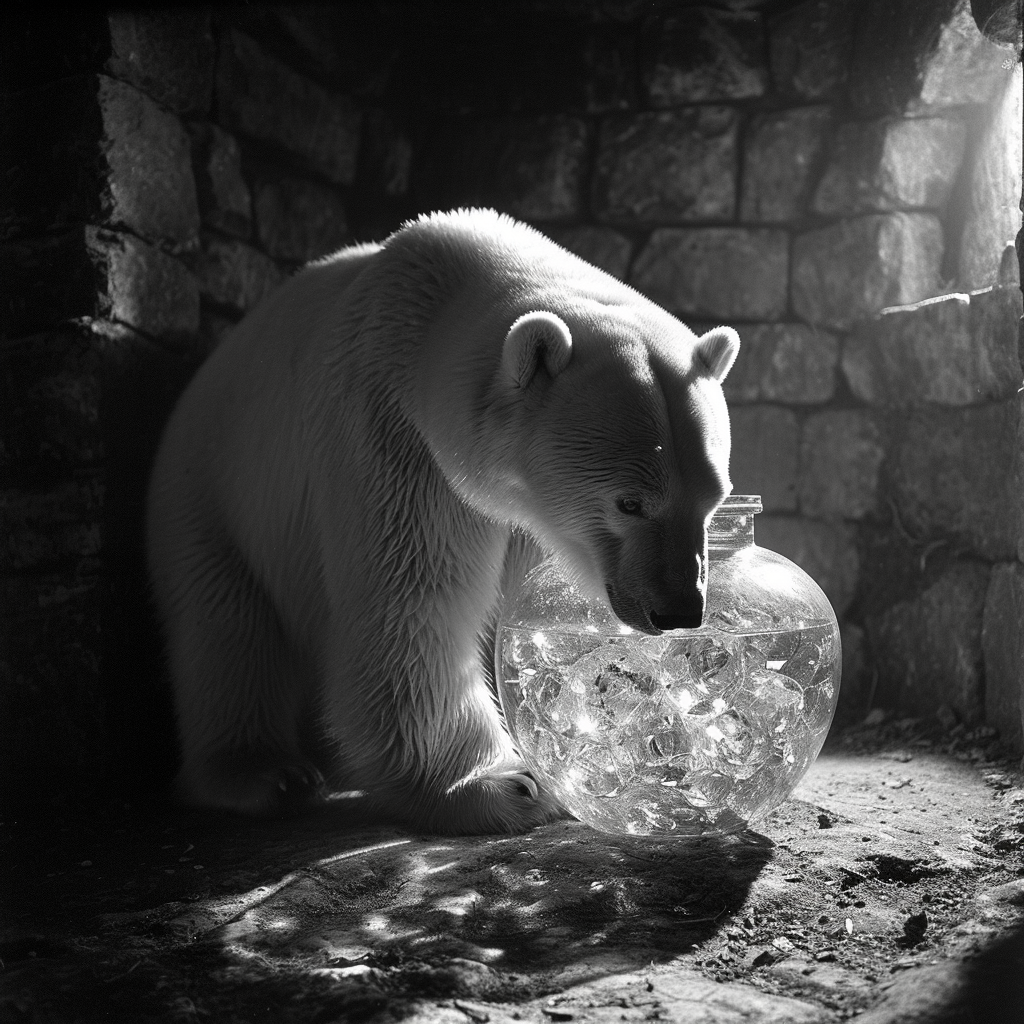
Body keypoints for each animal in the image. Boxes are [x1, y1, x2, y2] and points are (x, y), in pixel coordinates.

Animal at [146, 207, 737, 831]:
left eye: (714, 498)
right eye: (629, 502)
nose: (679, 610)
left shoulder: (530, 516)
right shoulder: (393, 437)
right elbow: (415, 596)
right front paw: (505, 786)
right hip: (212, 492)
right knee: (225, 626)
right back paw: (265, 774)